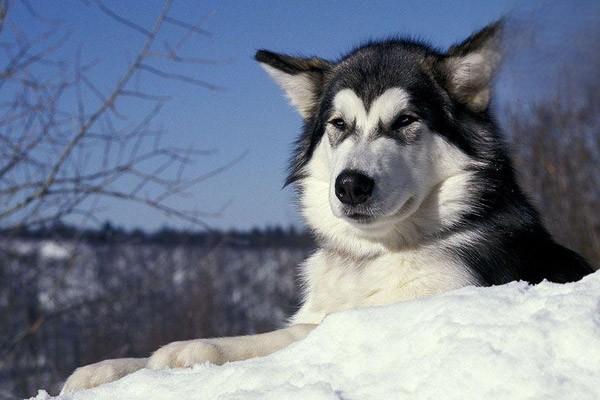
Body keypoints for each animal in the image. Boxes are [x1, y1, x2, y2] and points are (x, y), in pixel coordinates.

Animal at [61, 20, 592, 392]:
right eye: (339, 124)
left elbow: (285, 337)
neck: (372, 256)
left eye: (405, 121)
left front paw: (189, 349)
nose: (350, 185)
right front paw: (106, 368)